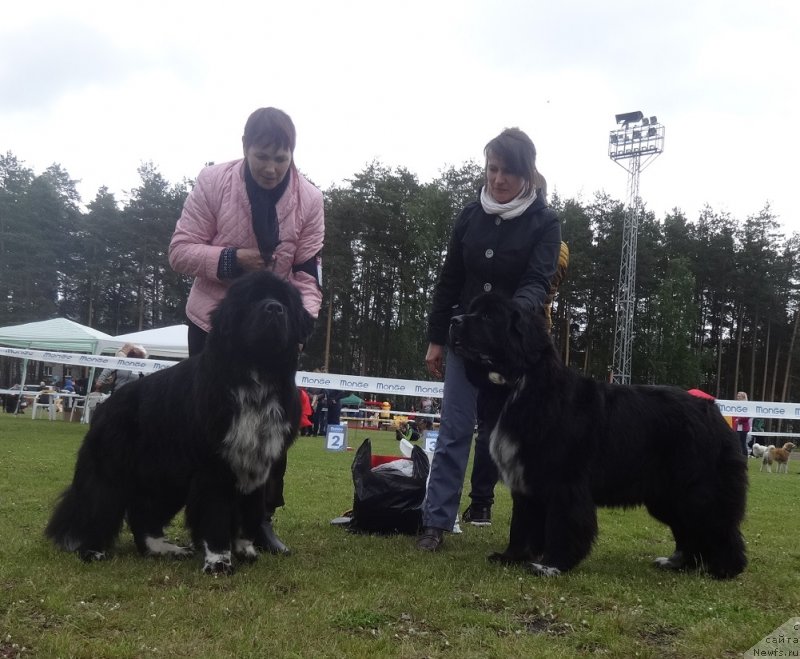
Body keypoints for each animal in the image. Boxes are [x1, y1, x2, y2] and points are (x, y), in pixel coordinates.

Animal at [45, 270, 310, 576]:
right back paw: (93, 551)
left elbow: (249, 514)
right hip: (114, 472)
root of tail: (106, 404)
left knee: (143, 517)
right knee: (96, 507)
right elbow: (217, 516)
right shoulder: (214, 467)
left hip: (166, 476)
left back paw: (165, 549)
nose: (274, 309)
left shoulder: (258, 463)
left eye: (285, 301)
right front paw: (219, 562)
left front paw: (246, 550)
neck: (256, 378)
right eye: (252, 299)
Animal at [454, 292, 748, 576]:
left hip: (696, 489)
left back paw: (724, 569)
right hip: (668, 496)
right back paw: (678, 563)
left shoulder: (565, 482)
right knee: (691, 531)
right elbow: (522, 524)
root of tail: (713, 410)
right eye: (472, 310)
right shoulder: (526, 482)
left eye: (488, 316)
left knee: (719, 527)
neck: (517, 386)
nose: (454, 320)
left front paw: (551, 565)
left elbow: (562, 525)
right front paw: (511, 557)